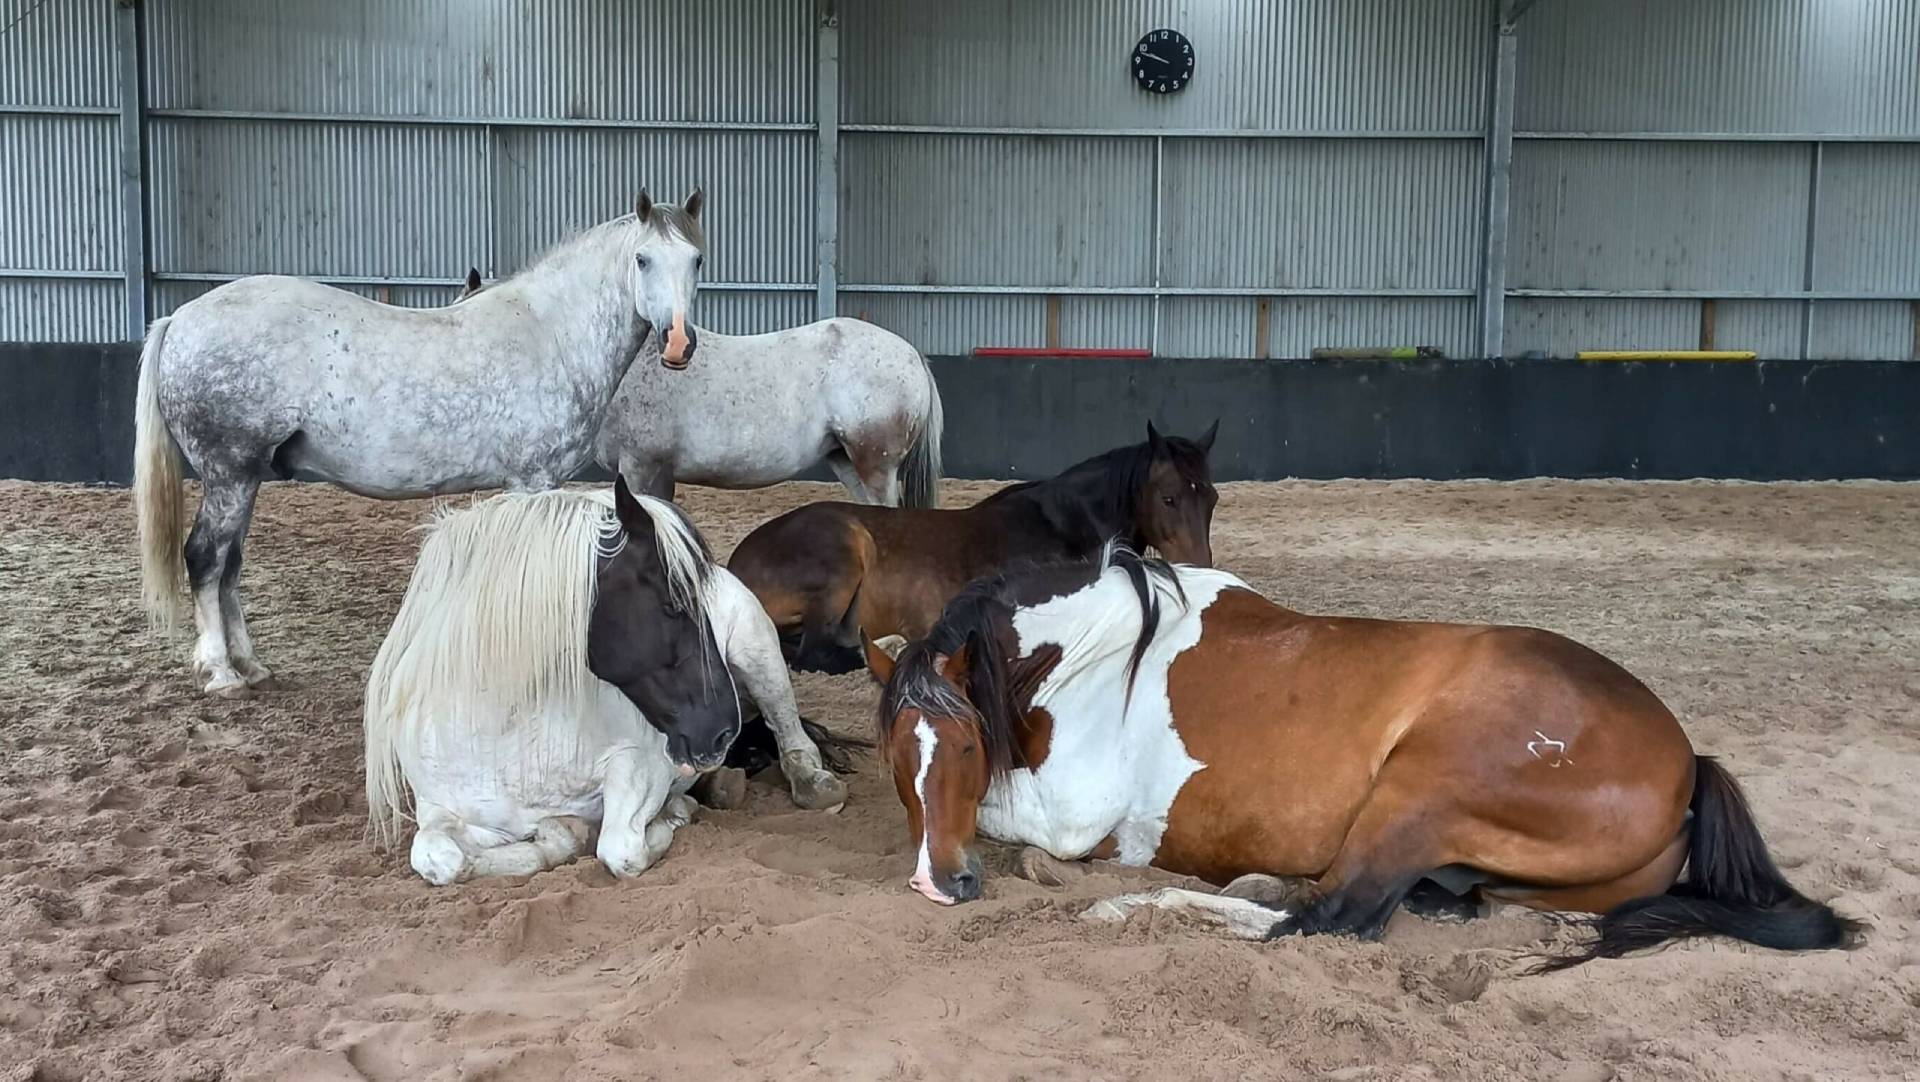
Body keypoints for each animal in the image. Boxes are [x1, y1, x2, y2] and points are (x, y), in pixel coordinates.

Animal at [135, 191, 707, 697]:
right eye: (642, 258)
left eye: (696, 258)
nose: (679, 343)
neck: (550, 331)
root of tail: (179, 318)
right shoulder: (533, 481)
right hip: (228, 474)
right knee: (205, 558)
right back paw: (220, 673)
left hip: (245, 479)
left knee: (229, 565)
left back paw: (251, 666)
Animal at [364, 476, 850, 887]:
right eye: (673, 604)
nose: (721, 728)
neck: (506, 728)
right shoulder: (439, 809)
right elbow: (439, 858)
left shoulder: (642, 766)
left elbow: (620, 849)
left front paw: (673, 813)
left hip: (758, 653)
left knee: (790, 734)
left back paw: (810, 784)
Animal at [727, 422, 1219, 675]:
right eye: (1168, 498)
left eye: (1211, 498)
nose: (1199, 568)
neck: (1063, 527)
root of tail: (735, 564)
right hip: (843, 558)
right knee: (813, 653)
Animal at [860, 546, 1862, 969]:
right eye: (893, 754)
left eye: (964, 742)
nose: (937, 885)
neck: (1101, 650)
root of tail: (1687, 761)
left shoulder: (1074, 816)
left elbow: (1017, 825)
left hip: (1420, 790)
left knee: (1327, 919)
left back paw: (1130, 909)